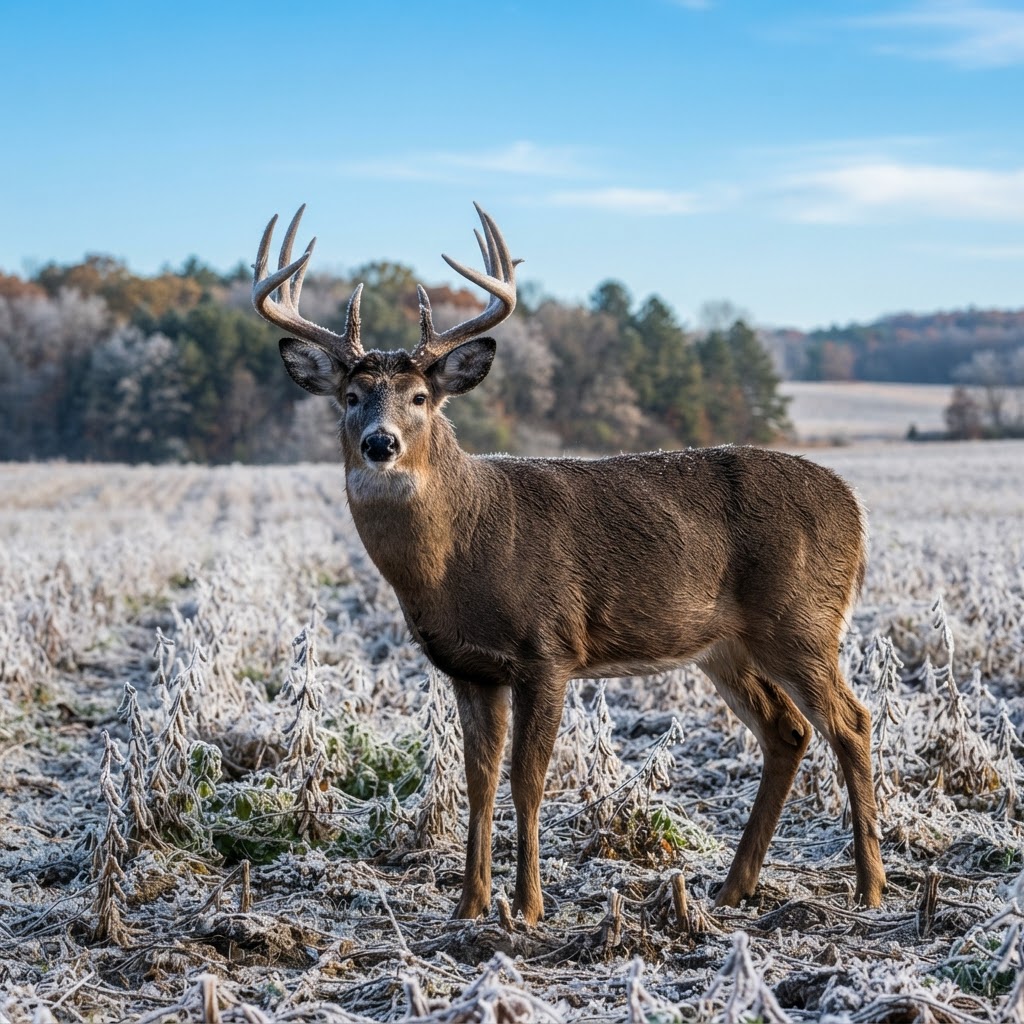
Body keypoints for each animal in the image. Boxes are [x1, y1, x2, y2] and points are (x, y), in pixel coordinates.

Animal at [252, 203, 886, 925]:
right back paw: (732, 888)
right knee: (788, 730)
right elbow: (478, 781)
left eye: (419, 397)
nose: (379, 444)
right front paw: (469, 905)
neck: (461, 552)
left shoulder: (549, 646)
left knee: (851, 722)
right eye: (351, 395)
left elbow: (528, 780)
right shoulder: (469, 668)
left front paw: (528, 906)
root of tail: (855, 508)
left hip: (801, 620)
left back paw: (869, 887)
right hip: (724, 644)